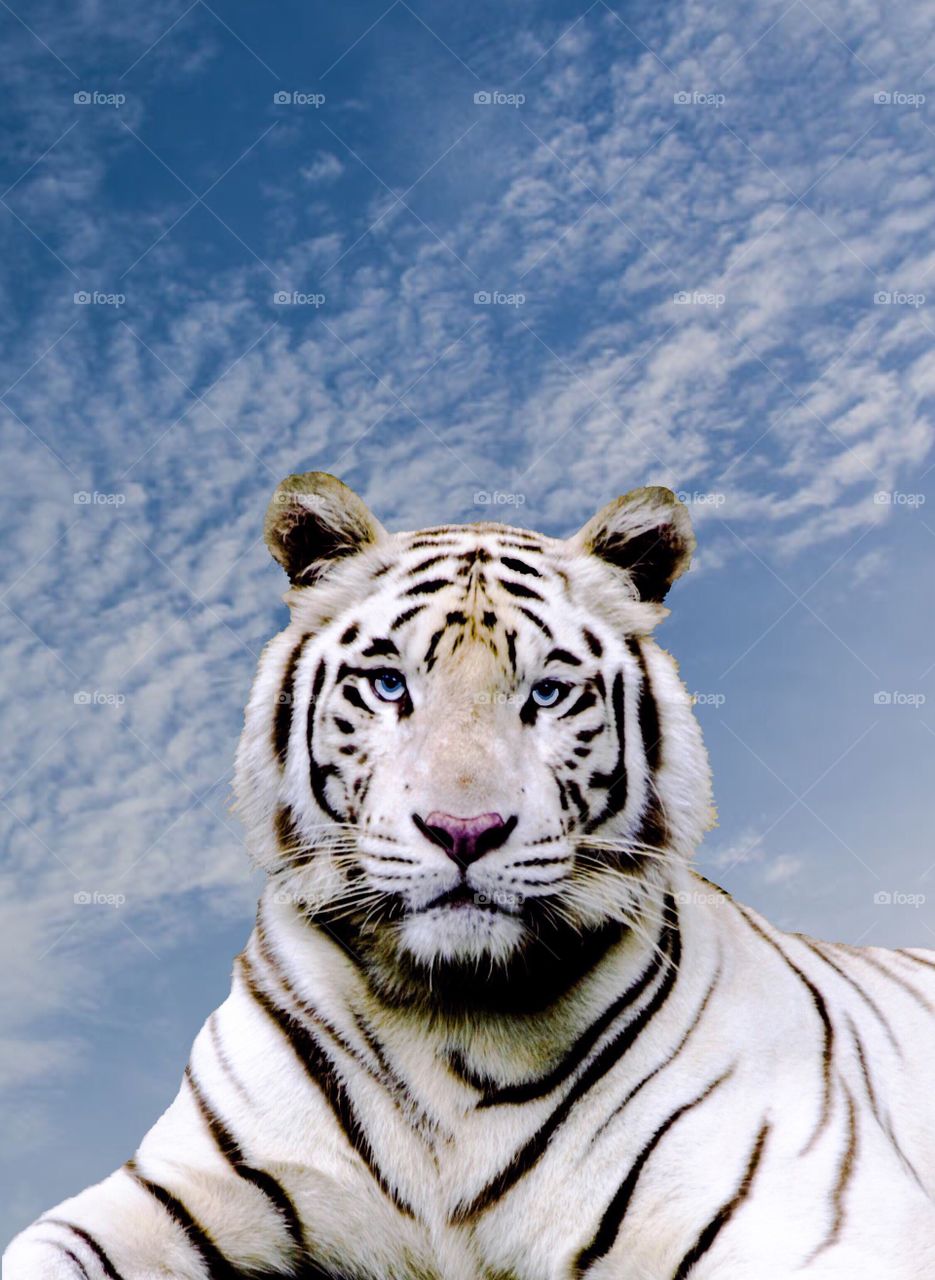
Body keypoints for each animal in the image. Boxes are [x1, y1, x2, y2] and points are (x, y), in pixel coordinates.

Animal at [5, 471, 935, 1280]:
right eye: (388, 686)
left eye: (548, 695)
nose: (464, 832)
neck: (449, 1018)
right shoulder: (180, 1184)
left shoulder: (813, 1218)